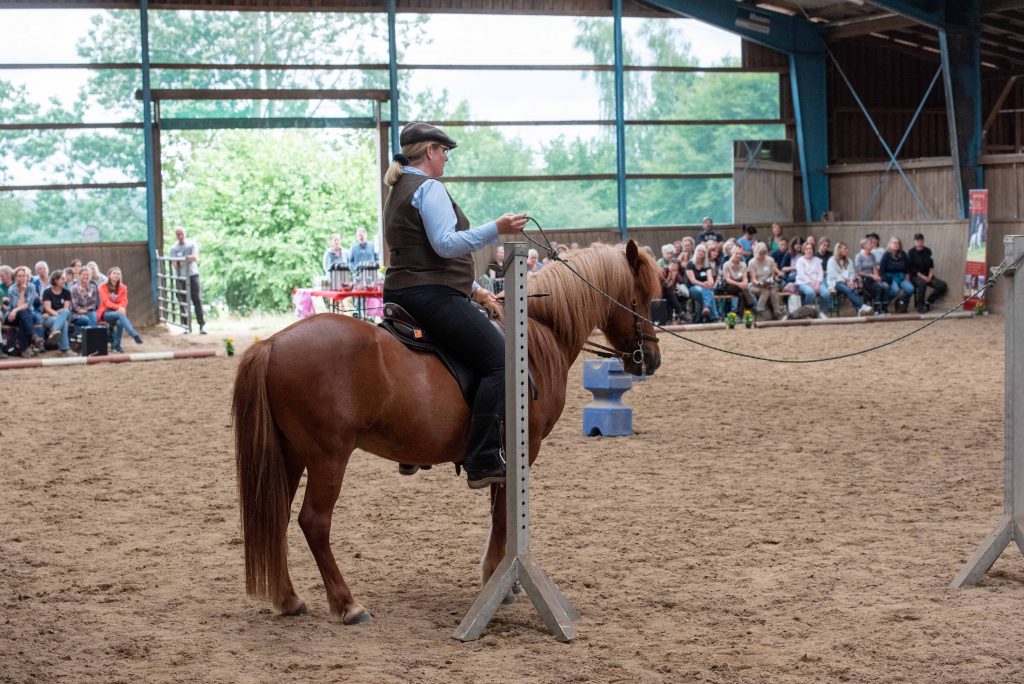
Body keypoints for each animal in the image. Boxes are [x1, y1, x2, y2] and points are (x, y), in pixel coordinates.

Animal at [232, 240, 659, 626]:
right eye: (640, 299)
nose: (650, 359)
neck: (536, 336)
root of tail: (273, 343)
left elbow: (498, 513)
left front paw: (503, 579)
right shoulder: (523, 449)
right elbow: (504, 517)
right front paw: (497, 581)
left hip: (290, 455)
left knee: (277, 518)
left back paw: (288, 599)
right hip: (328, 457)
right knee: (314, 522)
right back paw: (348, 604)